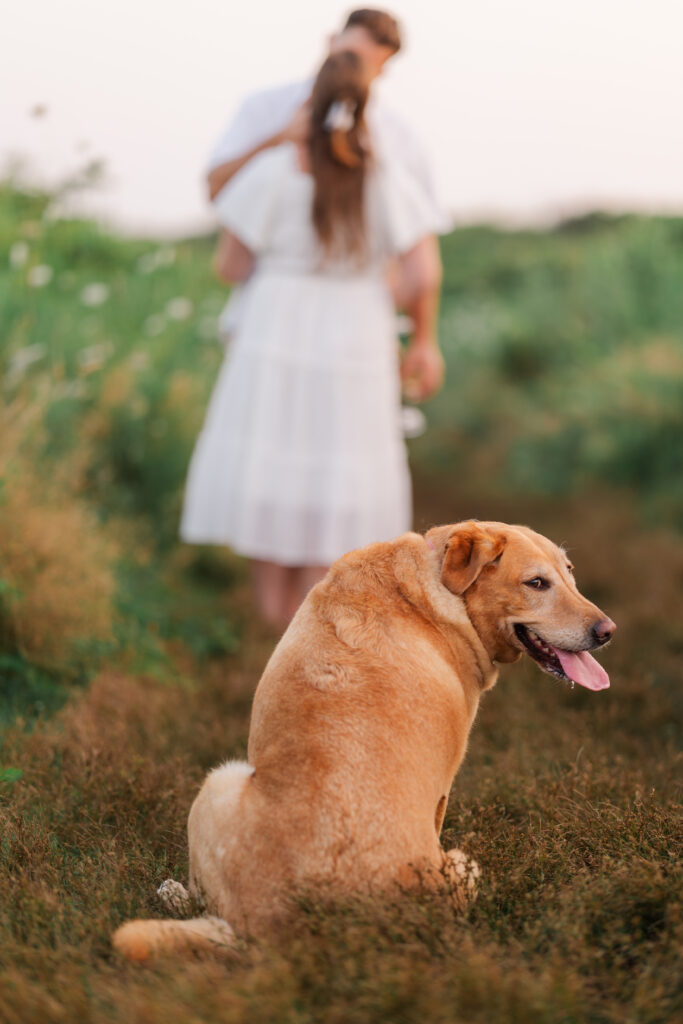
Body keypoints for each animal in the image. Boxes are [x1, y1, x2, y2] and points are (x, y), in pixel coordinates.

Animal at [112, 520, 614, 958]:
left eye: (569, 573)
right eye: (536, 583)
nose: (608, 632)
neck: (438, 590)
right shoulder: (442, 795)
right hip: (220, 783)